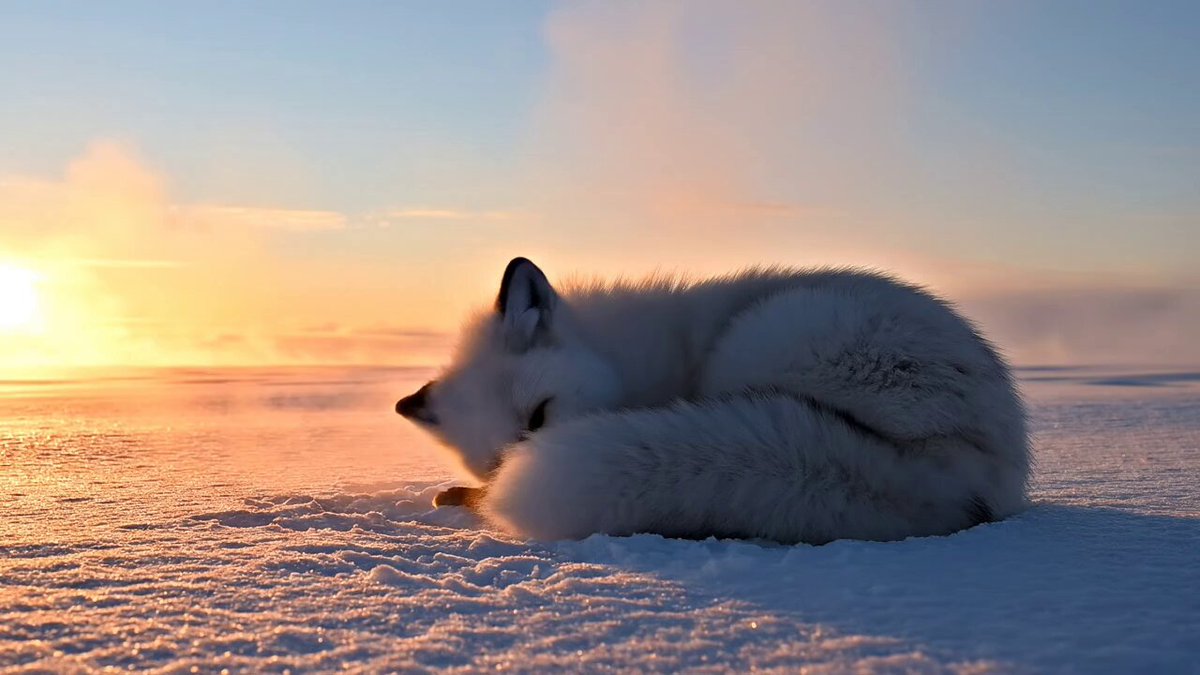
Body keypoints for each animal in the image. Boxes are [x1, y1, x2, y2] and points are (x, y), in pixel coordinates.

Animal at [395, 257, 1030, 544]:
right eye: (498, 460)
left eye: (541, 415)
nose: (511, 472)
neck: (627, 359)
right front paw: (466, 496)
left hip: (762, 335)